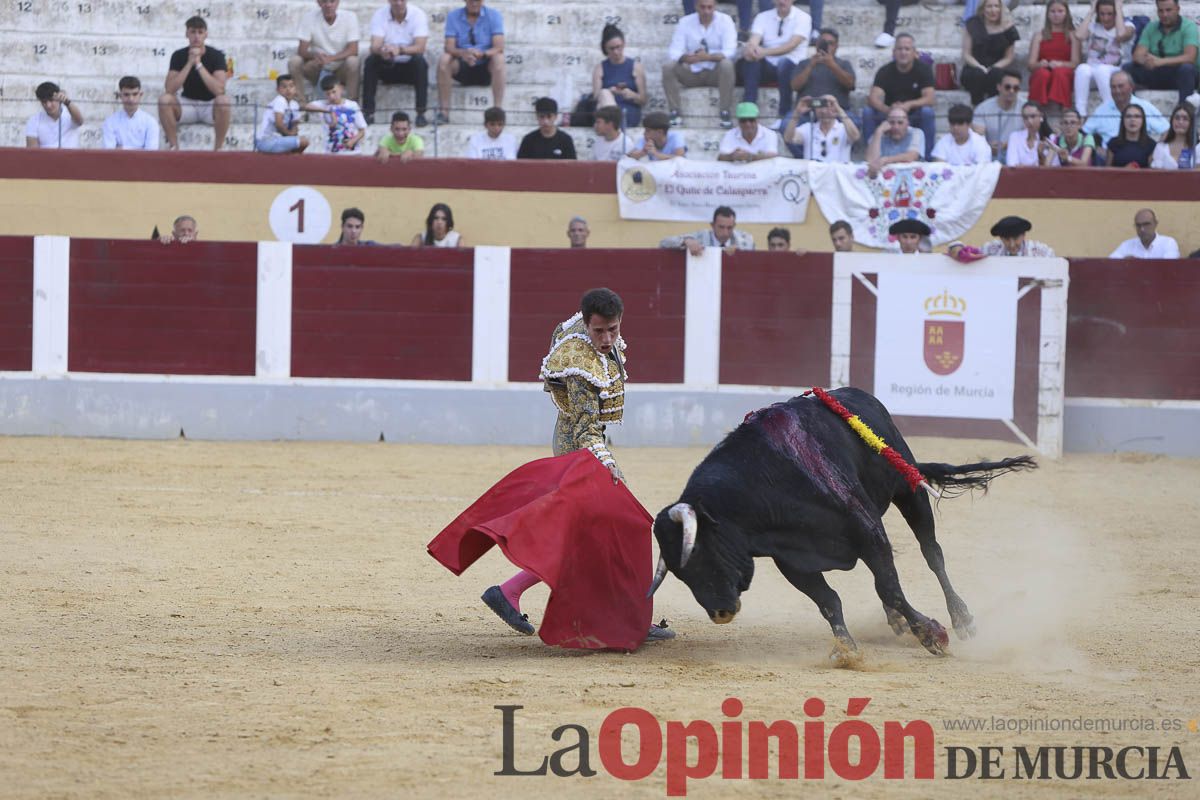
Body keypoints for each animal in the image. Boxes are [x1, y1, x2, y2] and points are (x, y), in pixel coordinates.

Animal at [652, 388, 1036, 657]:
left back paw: (962, 619)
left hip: (909, 491)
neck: (765, 481)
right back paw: (898, 622)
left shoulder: (869, 532)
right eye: (680, 574)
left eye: (702, 550)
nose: (720, 612)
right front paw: (847, 650)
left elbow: (890, 588)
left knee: (932, 554)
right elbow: (829, 600)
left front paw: (932, 634)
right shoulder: (793, 560)